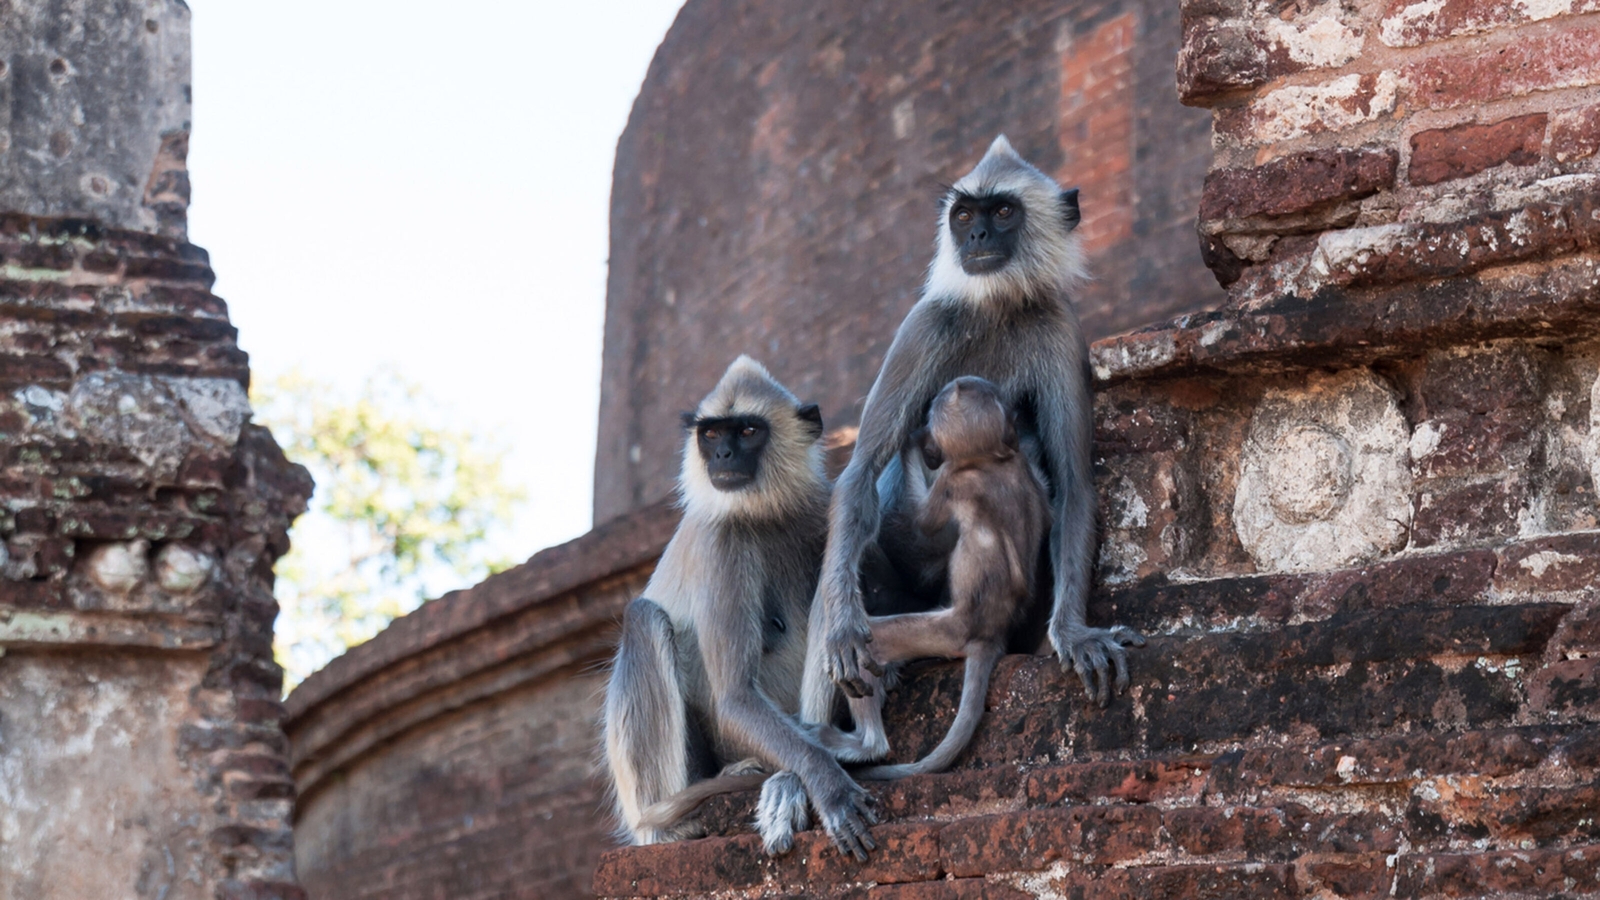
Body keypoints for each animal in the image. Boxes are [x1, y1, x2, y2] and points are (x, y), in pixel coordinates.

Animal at [601, 356, 879, 861]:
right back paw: (669, 828)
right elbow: (734, 697)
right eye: (711, 434)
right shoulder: (720, 540)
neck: (764, 513)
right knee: (644, 619)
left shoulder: (821, 510)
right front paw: (829, 785)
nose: (723, 457)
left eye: (748, 431)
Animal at [844, 376, 1051, 779]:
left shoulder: (953, 480)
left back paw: (865, 746)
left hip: (945, 632)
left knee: (871, 645)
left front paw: (908, 441)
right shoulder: (1023, 468)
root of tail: (991, 636)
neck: (990, 460)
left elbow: (923, 523)